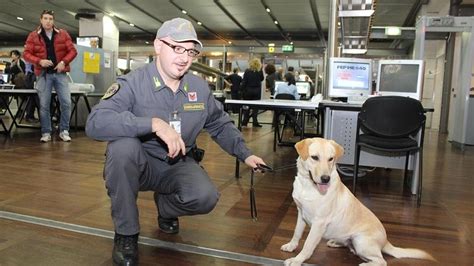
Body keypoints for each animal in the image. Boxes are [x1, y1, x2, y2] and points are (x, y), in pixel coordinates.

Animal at [280, 137, 436, 266]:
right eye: (314, 157)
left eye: (331, 159)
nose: (325, 179)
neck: (308, 185)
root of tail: (386, 242)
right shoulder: (301, 213)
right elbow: (297, 233)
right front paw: (291, 246)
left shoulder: (319, 223)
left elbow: (307, 245)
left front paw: (297, 260)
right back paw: (336, 242)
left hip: (361, 242)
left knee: (381, 261)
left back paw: (365, 264)